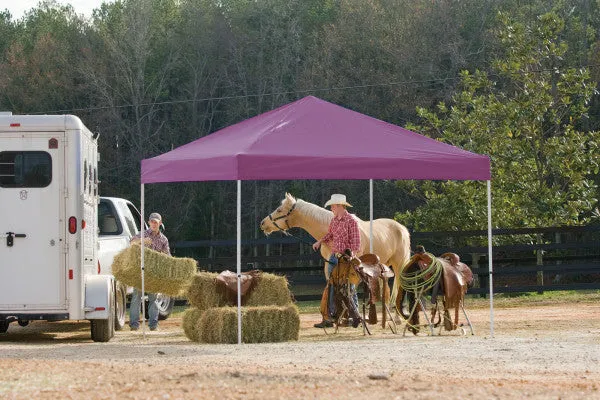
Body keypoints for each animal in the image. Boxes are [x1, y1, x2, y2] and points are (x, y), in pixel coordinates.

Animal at [260, 194, 410, 310]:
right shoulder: (329, 264)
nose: (262, 223)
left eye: (279, 210)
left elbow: (350, 289)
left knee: (399, 284)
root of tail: (402, 228)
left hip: (398, 264)